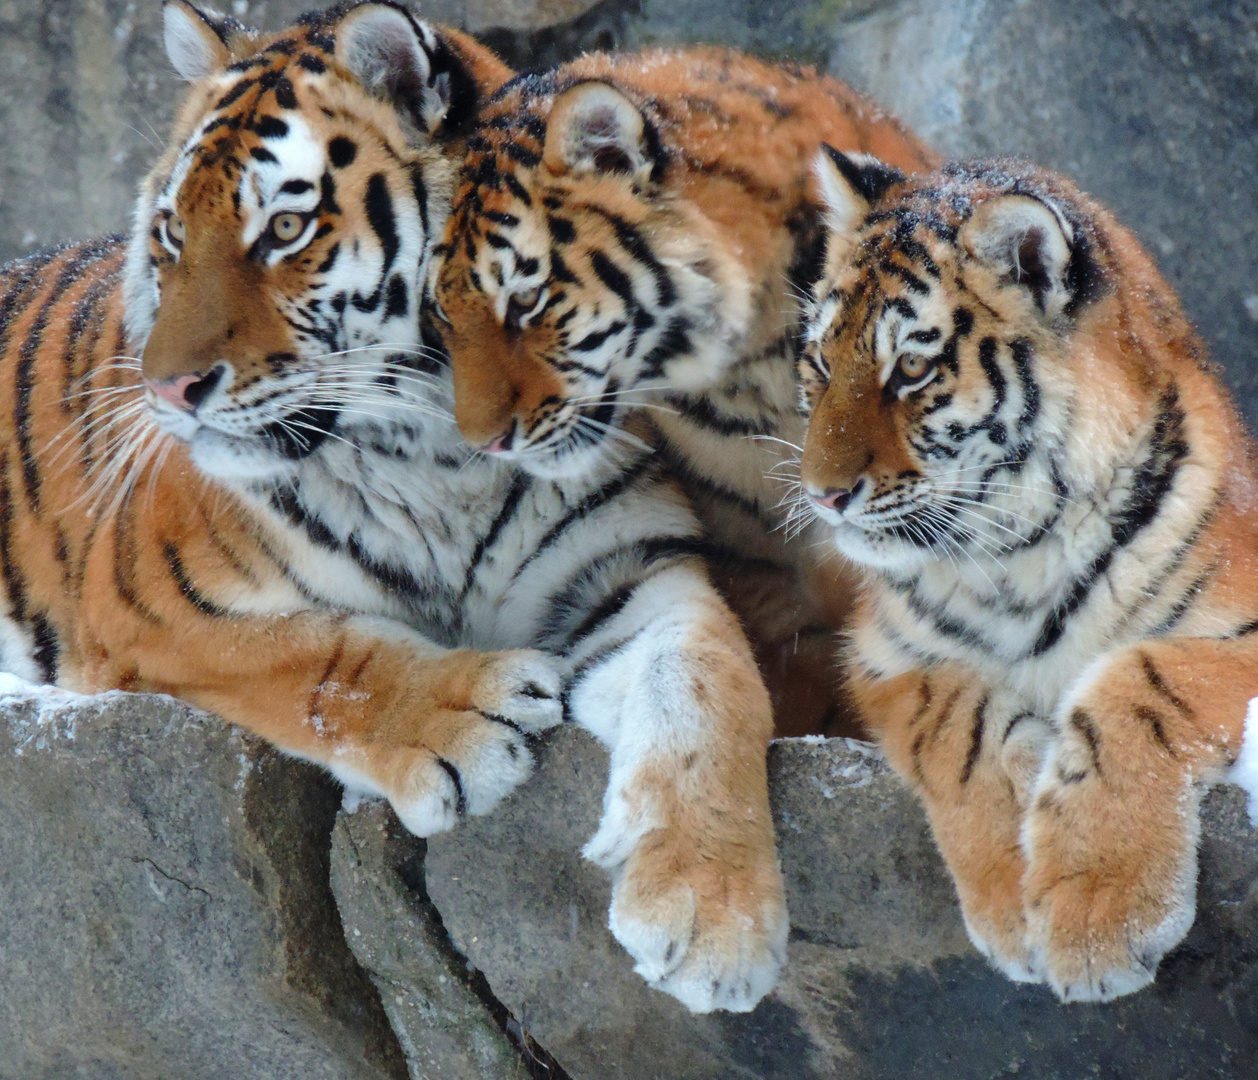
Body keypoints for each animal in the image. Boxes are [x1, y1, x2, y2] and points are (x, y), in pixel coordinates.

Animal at [0, 0, 795, 1015]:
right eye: (173, 233)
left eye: (285, 228)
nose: (166, 389)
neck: (437, 455)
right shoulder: (144, 604)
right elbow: (318, 655)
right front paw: (469, 716)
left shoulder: (629, 572)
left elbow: (709, 684)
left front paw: (710, 913)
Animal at [795, 150, 1258, 1005]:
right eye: (819, 362)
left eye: (912, 368)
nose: (821, 495)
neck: (1018, 551)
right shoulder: (885, 656)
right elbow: (956, 727)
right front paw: (1015, 899)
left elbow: (1141, 681)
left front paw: (1099, 917)